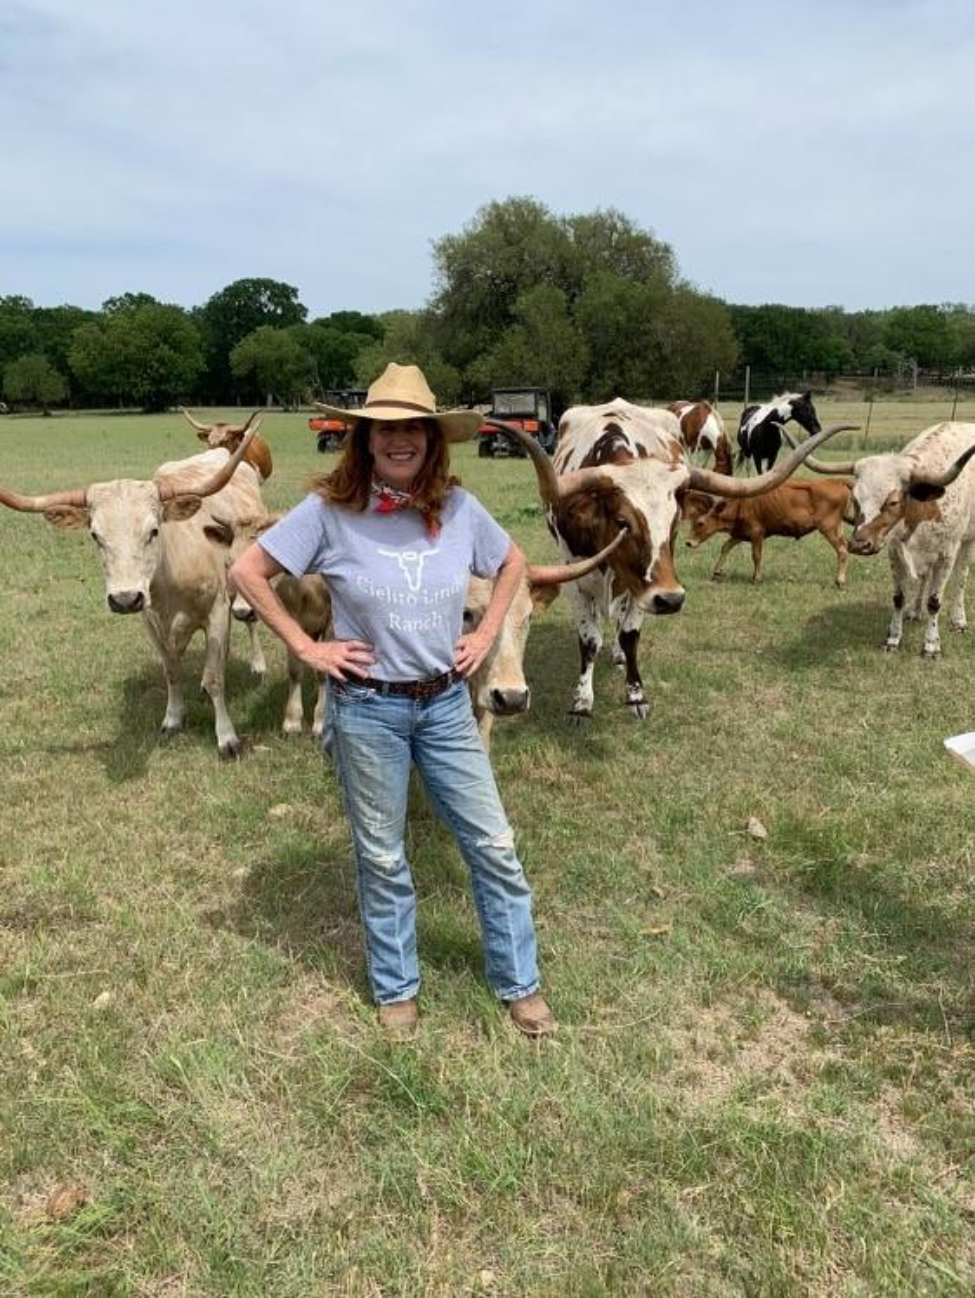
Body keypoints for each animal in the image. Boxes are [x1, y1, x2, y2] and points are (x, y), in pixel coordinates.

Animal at [0, 434, 261, 756]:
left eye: (153, 530)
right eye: (95, 536)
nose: (125, 599)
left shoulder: (216, 608)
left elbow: (214, 678)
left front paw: (226, 737)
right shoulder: (151, 621)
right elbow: (171, 671)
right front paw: (173, 718)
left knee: (248, 622)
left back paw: (257, 664)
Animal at [683, 478, 855, 586]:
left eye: (700, 523)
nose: (688, 542)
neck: (741, 503)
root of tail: (835, 481)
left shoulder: (756, 533)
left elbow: (756, 556)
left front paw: (756, 578)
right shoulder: (741, 533)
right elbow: (726, 546)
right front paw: (717, 571)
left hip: (828, 527)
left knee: (842, 550)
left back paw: (840, 581)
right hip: (836, 527)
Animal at [786, 421, 975, 656]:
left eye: (893, 502)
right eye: (855, 499)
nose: (859, 544)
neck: (922, 508)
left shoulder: (946, 553)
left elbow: (935, 601)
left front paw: (931, 645)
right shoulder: (895, 551)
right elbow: (899, 597)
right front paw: (893, 638)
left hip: (967, 541)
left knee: (962, 577)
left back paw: (958, 620)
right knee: (924, 578)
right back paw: (914, 611)